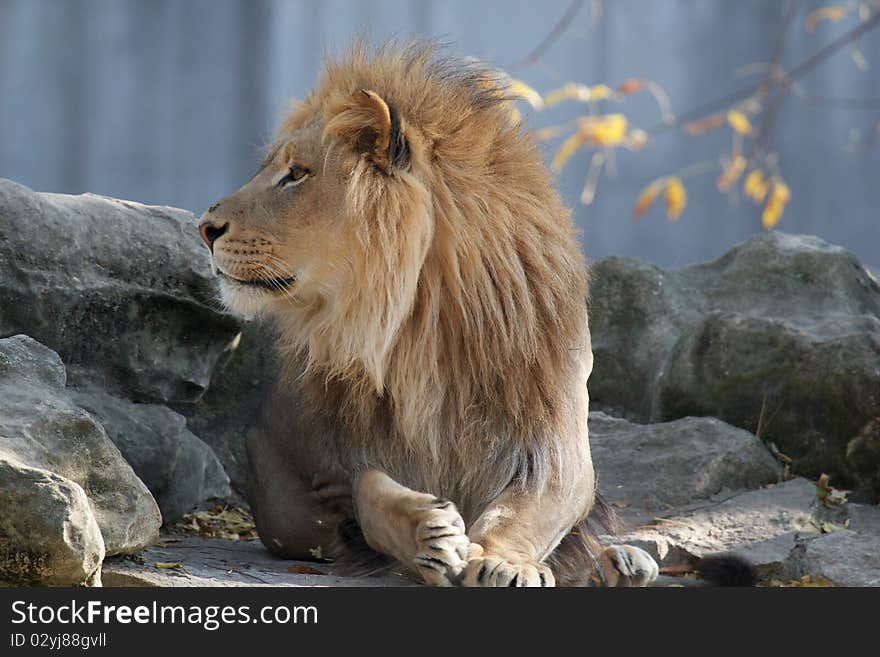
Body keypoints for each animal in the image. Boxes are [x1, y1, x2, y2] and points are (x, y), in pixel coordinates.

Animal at [194, 41, 660, 584]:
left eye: (298, 174)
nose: (205, 228)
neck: (422, 329)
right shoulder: (295, 483)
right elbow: (366, 490)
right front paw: (427, 535)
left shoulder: (556, 445)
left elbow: (524, 510)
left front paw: (501, 560)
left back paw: (623, 563)